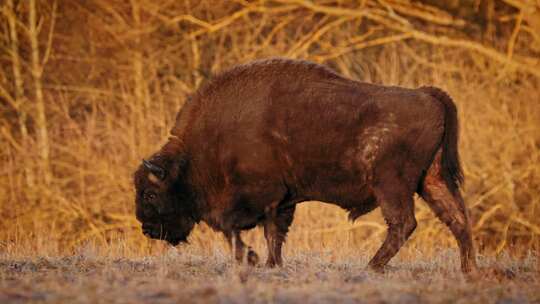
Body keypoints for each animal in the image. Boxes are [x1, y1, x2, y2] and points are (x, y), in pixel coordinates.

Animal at [134, 58, 476, 272]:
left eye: (150, 194)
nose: (147, 228)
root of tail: (427, 95)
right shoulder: (282, 201)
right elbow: (273, 233)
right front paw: (271, 264)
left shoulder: (259, 195)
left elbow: (230, 225)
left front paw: (253, 259)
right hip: (431, 181)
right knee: (458, 220)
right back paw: (469, 271)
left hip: (391, 185)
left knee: (404, 224)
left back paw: (372, 267)